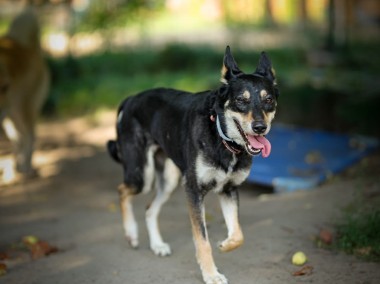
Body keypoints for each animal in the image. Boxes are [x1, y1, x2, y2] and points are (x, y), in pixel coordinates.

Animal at [0, 7, 49, 183]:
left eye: (5, 87)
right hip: (11, 116)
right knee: (19, 139)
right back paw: (17, 167)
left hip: (23, 109)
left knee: (30, 136)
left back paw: (27, 168)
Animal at [107, 45, 280, 282]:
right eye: (241, 100)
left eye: (268, 100)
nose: (260, 127)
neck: (221, 137)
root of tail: (131, 98)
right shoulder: (194, 191)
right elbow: (202, 241)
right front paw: (211, 275)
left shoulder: (229, 190)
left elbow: (238, 234)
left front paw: (225, 245)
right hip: (141, 174)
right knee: (122, 190)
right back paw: (132, 234)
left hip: (168, 181)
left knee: (150, 208)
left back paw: (157, 245)